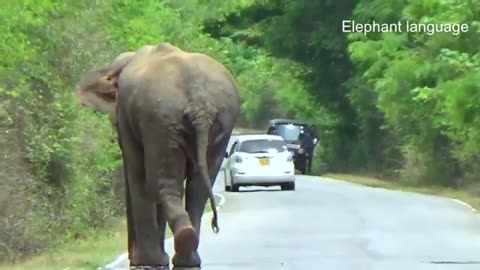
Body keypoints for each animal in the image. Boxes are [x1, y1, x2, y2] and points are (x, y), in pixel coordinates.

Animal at [78, 42, 240, 268]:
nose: (131, 256)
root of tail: (199, 104)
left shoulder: (130, 118)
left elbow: (138, 174)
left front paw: (144, 261)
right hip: (208, 121)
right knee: (194, 186)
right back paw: (187, 254)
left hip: (161, 118)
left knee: (161, 182)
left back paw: (164, 256)